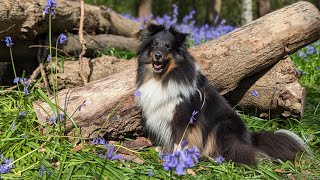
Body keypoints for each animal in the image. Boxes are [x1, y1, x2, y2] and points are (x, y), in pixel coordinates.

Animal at [134, 23, 306, 165]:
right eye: (155, 44)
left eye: (168, 46)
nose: (158, 55)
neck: (163, 77)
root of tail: (250, 139)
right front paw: (163, 151)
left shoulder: (183, 117)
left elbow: (179, 139)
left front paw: (176, 159)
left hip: (222, 126)